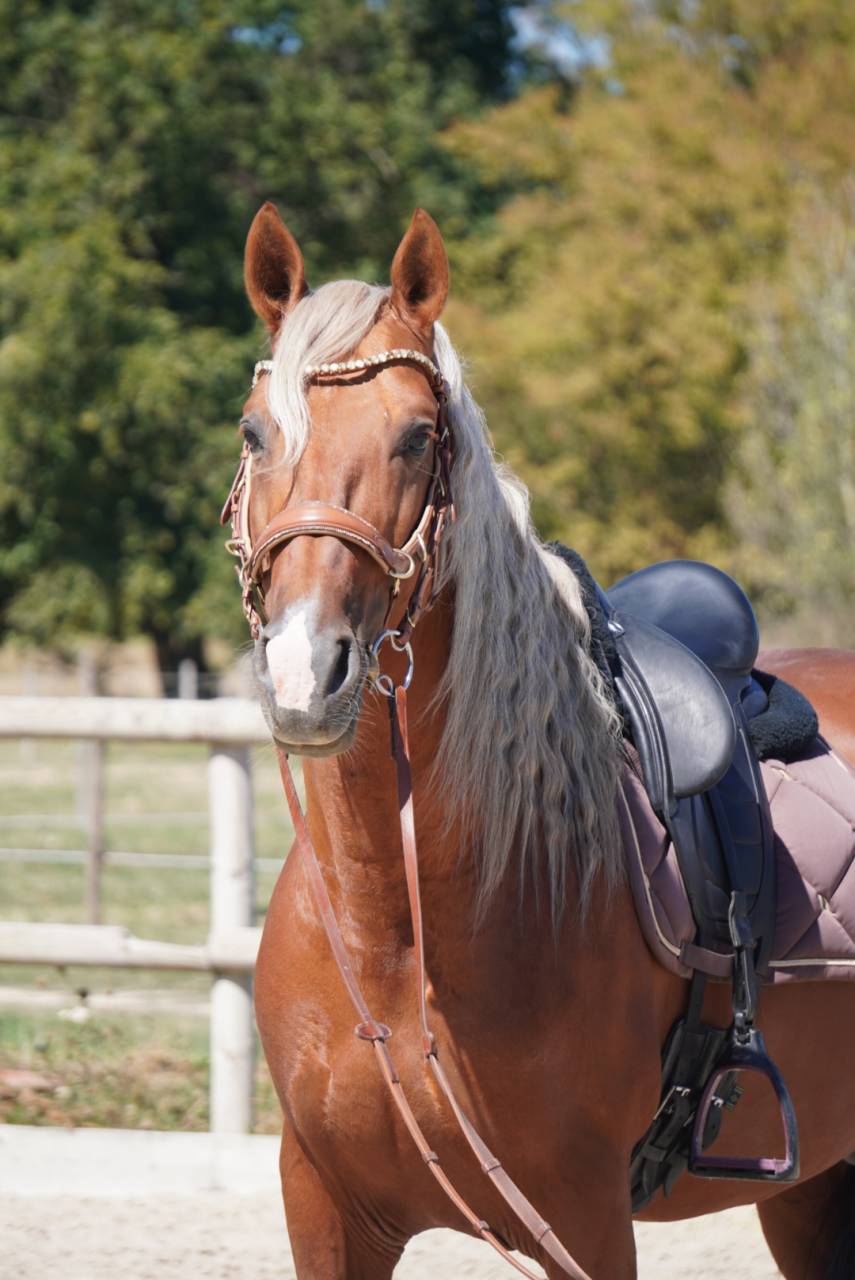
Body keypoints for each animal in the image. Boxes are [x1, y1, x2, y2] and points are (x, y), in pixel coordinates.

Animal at [231, 201, 855, 1279]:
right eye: (254, 430)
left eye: (417, 436)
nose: (308, 670)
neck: (399, 936)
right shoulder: (325, 1207)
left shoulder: (583, 1219)